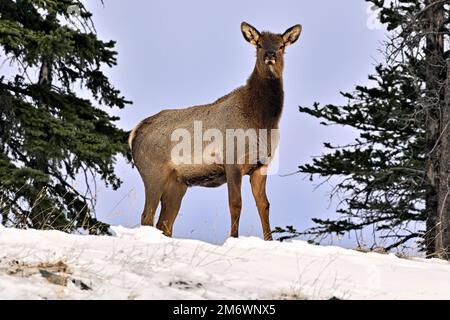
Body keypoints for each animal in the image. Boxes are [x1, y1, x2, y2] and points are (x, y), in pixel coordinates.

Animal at [128, 22, 300, 240]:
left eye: (281, 45)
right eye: (259, 45)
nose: (270, 54)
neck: (262, 121)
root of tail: (134, 133)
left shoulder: (261, 165)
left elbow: (264, 206)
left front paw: (269, 240)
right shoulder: (232, 160)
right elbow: (235, 204)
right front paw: (233, 238)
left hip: (177, 184)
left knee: (164, 224)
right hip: (152, 173)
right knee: (146, 217)